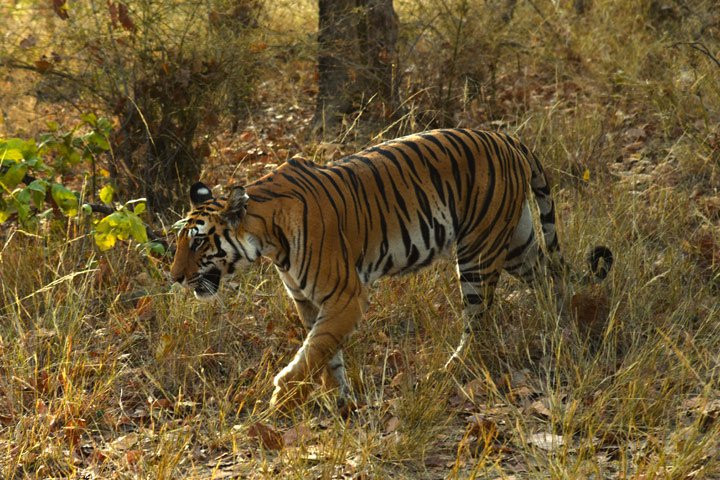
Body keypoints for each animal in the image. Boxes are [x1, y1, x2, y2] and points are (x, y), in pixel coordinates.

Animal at [170, 128, 612, 412]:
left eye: (198, 241)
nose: (174, 278)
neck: (268, 238)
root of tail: (507, 138)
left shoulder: (345, 296)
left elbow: (313, 351)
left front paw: (282, 397)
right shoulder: (307, 301)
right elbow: (324, 352)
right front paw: (338, 401)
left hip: (477, 252)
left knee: (479, 321)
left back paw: (452, 370)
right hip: (516, 244)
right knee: (551, 279)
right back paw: (563, 331)